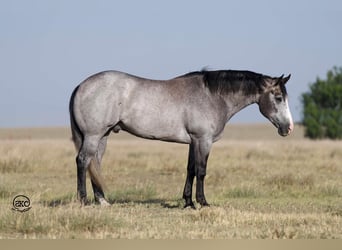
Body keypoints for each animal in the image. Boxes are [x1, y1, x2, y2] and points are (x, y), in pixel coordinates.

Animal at [69, 69, 294, 208]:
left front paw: (188, 202)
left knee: (95, 163)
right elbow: (201, 171)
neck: (212, 96)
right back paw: (83, 200)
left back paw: (102, 201)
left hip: (103, 136)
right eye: (278, 98)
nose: (289, 128)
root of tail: (81, 85)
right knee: (83, 161)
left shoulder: (193, 142)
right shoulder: (203, 140)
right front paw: (202, 202)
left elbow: (190, 169)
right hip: (93, 135)